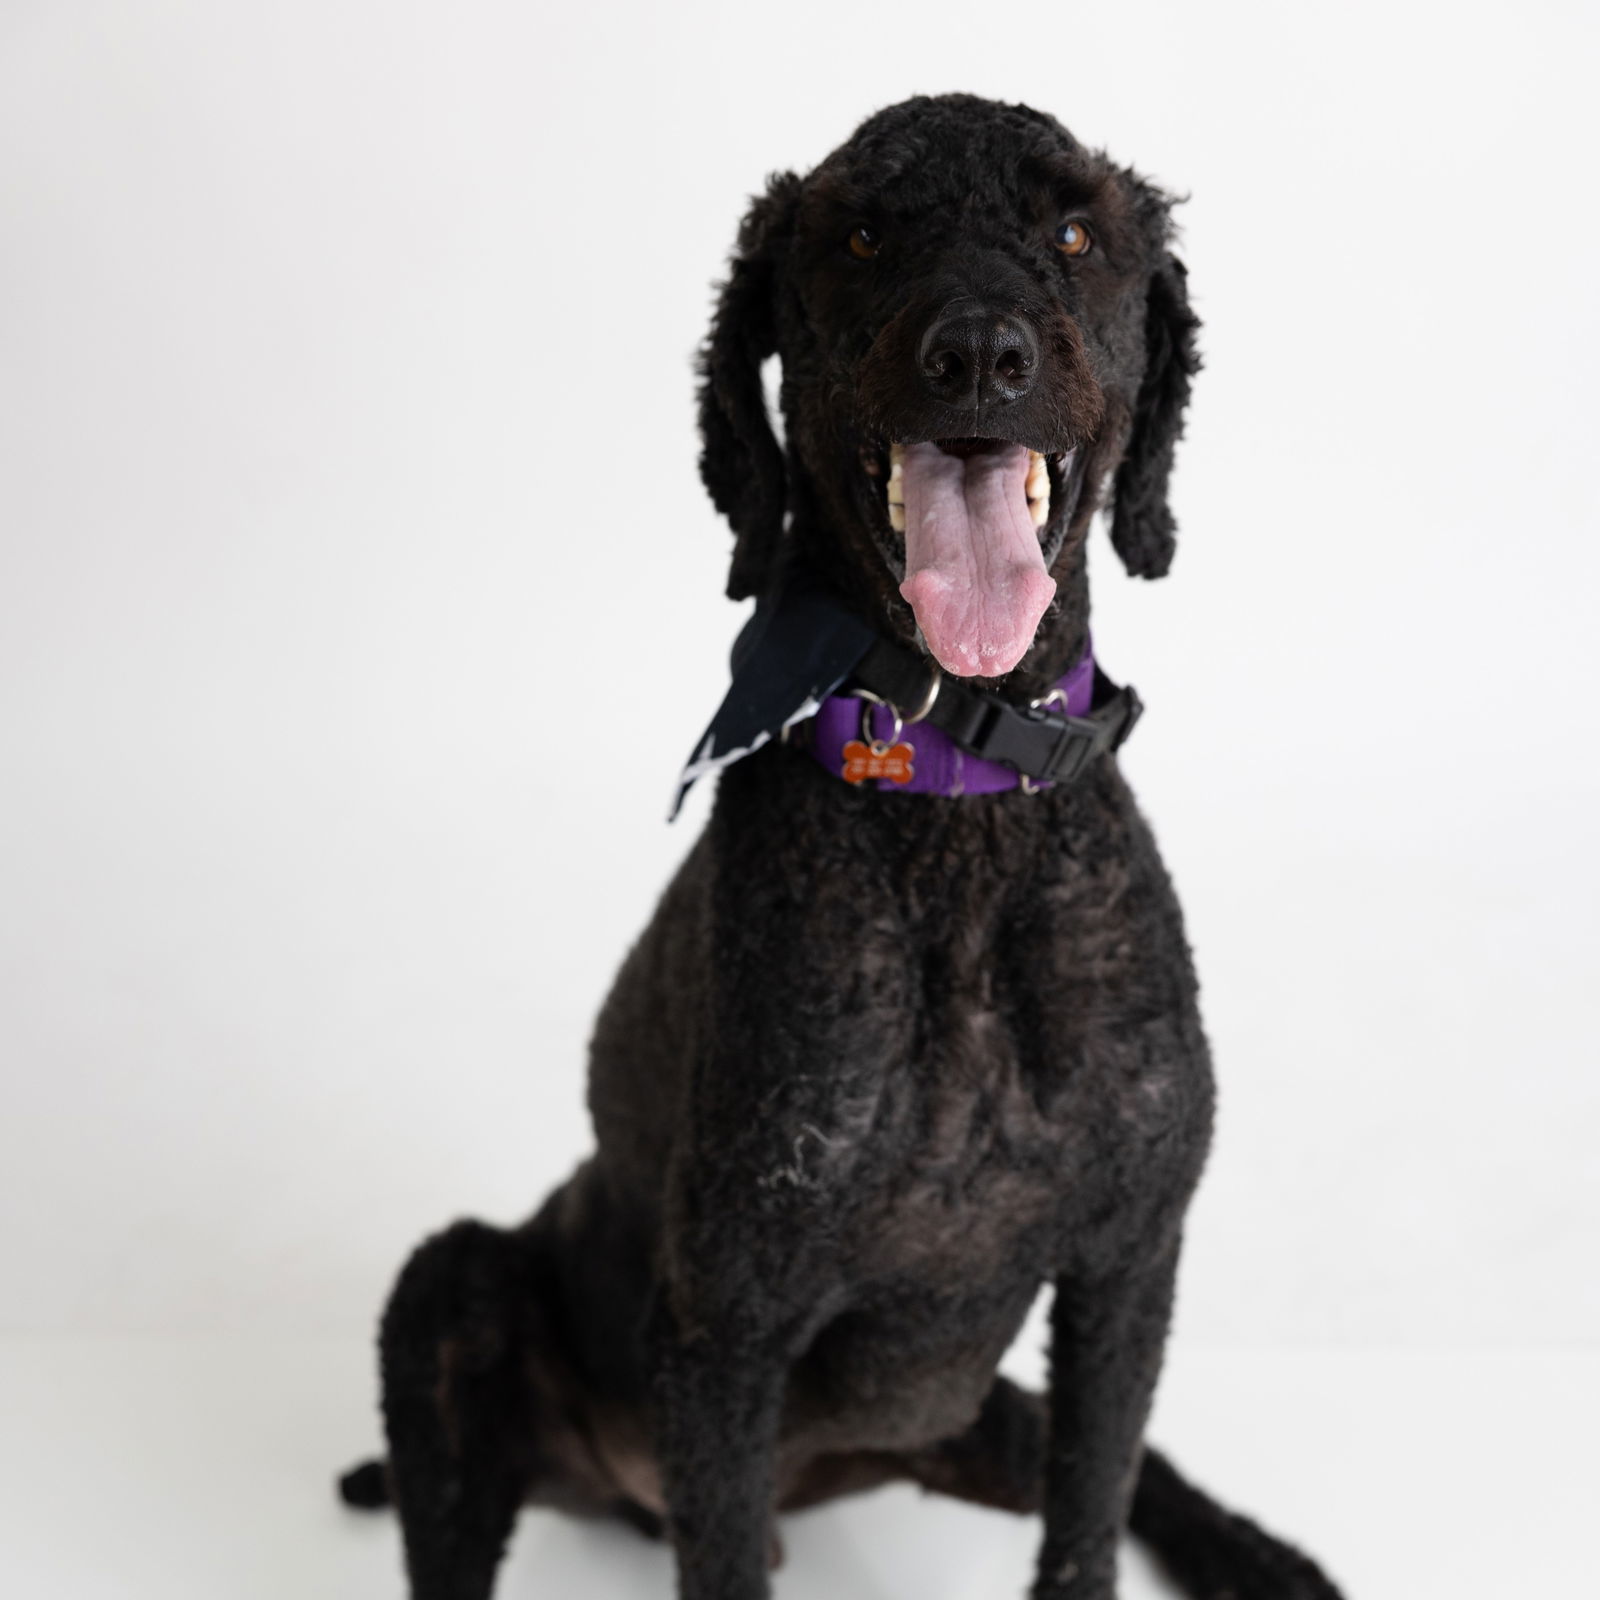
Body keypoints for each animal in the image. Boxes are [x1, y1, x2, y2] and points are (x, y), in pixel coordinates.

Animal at [344, 96, 1344, 1600]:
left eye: (1073, 234)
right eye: (866, 235)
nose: (979, 354)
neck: (953, 800)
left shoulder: (1129, 1265)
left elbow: (1096, 1512)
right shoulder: (727, 1325)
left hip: (975, 1411)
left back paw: (1259, 1556)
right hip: (459, 1289)